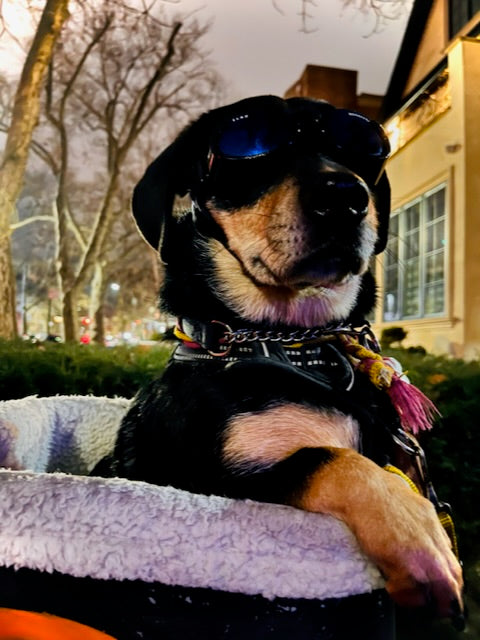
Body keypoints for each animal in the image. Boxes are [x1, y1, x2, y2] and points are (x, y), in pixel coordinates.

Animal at [99, 97, 464, 624]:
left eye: (363, 146)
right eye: (250, 141)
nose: (344, 197)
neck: (297, 342)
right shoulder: (204, 479)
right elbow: (331, 459)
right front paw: (420, 540)